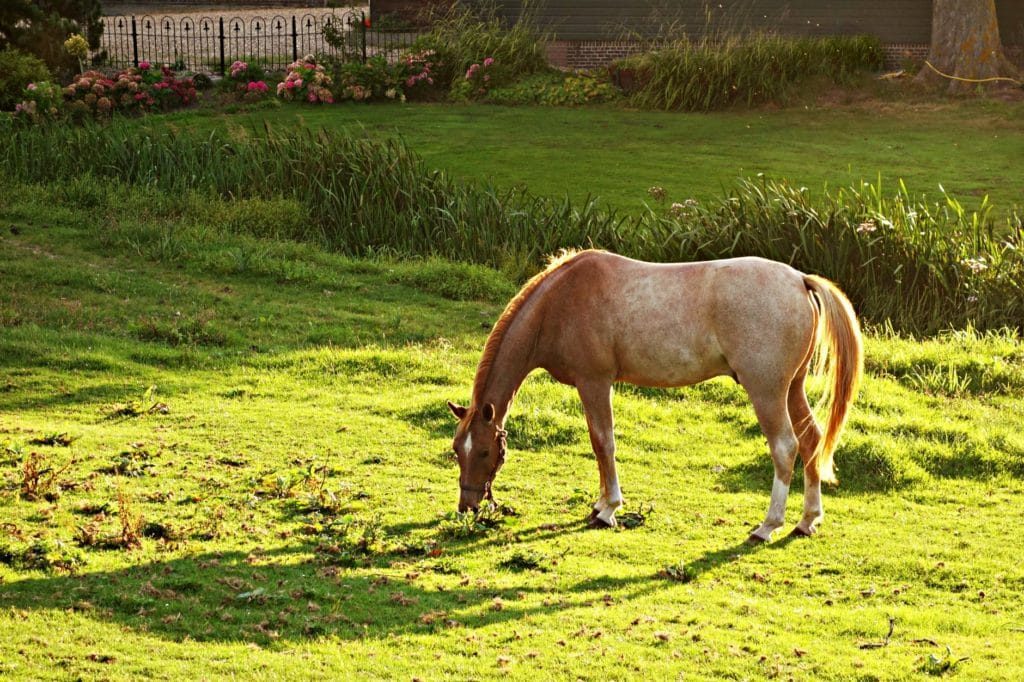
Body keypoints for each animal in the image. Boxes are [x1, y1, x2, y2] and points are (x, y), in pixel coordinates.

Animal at [447, 249, 862, 543]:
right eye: (456, 450)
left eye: (483, 451)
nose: (468, 506)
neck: (561, 302)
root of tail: (799, 280)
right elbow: (598, 444)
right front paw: (601, 503)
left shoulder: (594, 382)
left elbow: (604, 443)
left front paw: (608, 510)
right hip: (792, 388)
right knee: (811, 441)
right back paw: (807, 520)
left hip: (767, 391)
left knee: (785, 448)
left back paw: (768, 525)